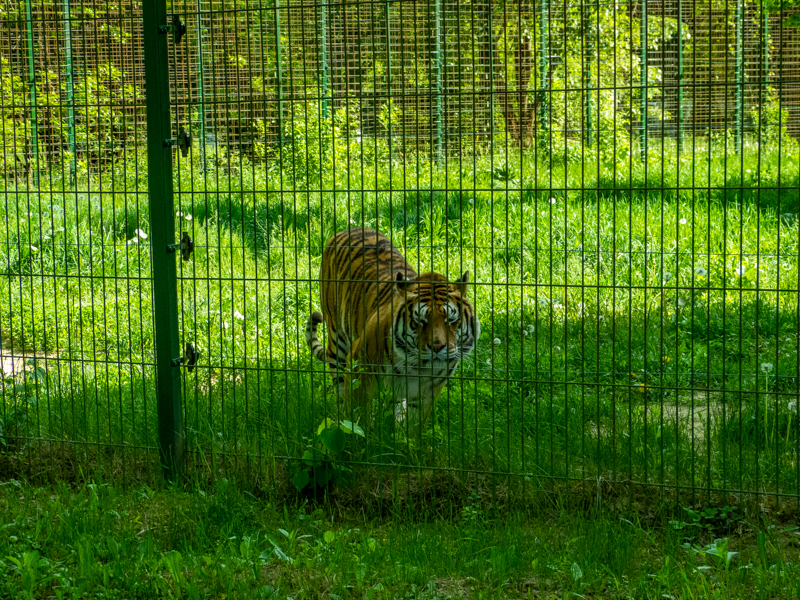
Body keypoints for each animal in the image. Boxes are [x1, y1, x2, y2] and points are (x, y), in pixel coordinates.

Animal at [305, 228, 480, 427]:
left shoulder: (426, 393)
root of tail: (348, 229)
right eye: (420, 321)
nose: (437, 347)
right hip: (338, 343)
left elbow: (413, 426)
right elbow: (357, 416)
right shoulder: (359, 368)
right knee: (340, 389)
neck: (416, 367)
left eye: (451, 321)